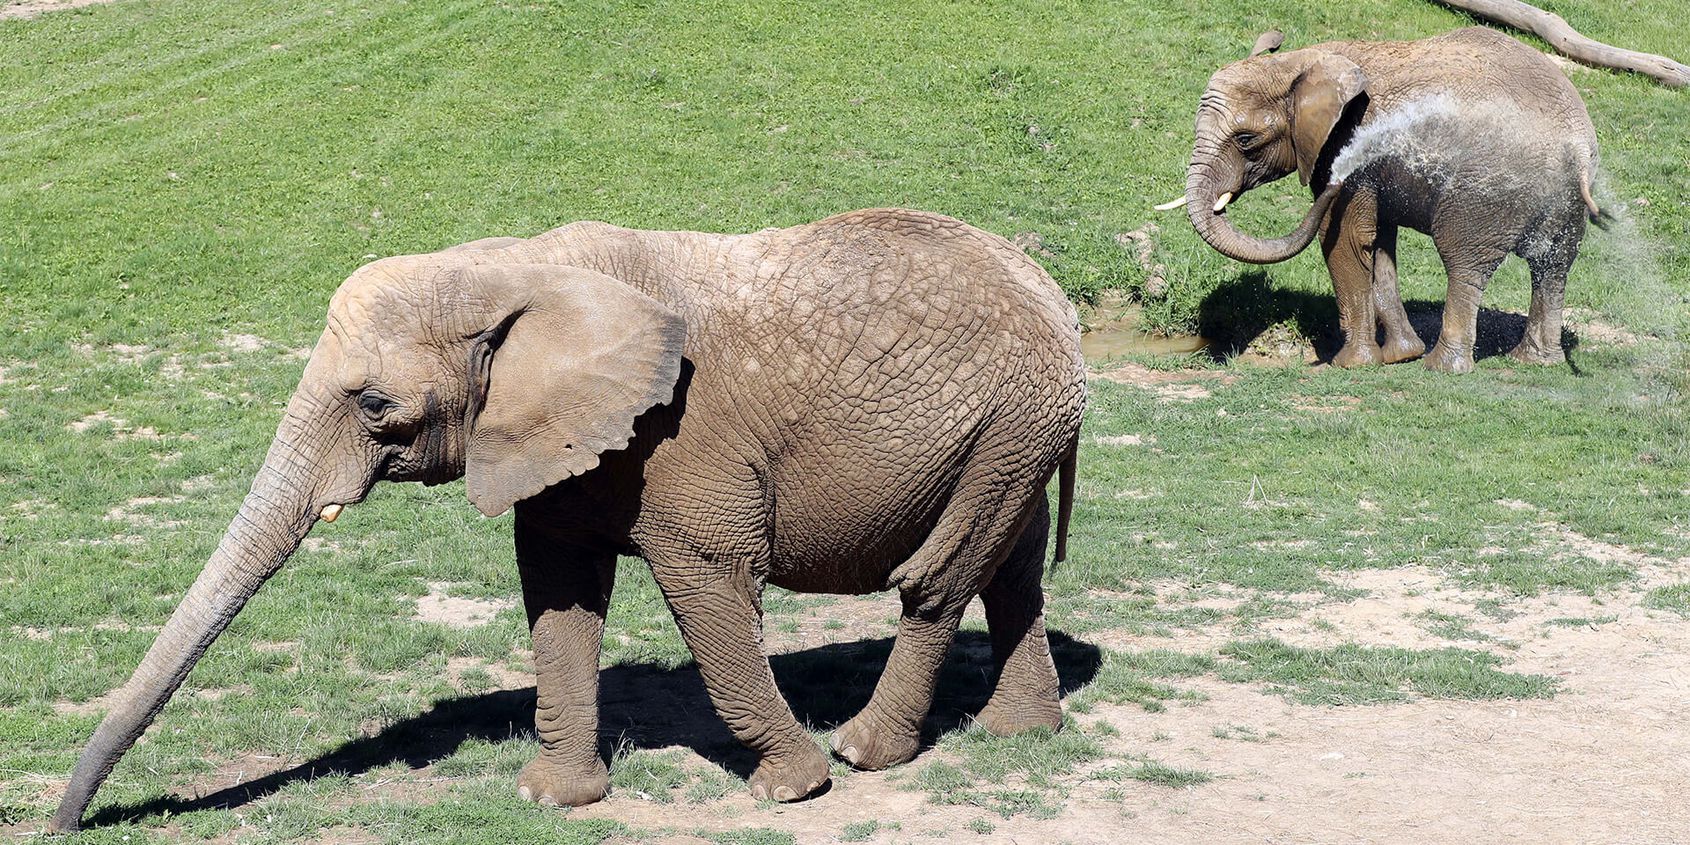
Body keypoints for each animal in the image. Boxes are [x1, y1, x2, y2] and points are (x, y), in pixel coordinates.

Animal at [52, 207, 1088, 828]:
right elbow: (554, 589)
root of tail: (1054, 293)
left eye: (377, 406)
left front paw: (792, 787)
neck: (513, 268)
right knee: (1012, 568)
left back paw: (865, 751)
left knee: (940, 576)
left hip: (1012, 419)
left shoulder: (685, 433)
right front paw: (557, 801)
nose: (68, 822)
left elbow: (708, 578)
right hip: (1016, 429)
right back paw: (1018, 733)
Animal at [1169, 28, 1602, 371]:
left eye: (1245, 140)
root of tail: (1577, 148)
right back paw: (1534, 362)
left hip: (1483, 193)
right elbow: (1378, 242)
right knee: (1553, 269)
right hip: (1566, 203)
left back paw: (1442, 368)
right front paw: (1399, 356)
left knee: (1463, 263)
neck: (1303, 61)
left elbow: (1343, 237)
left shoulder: (1348, 146)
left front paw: (1351, 365)